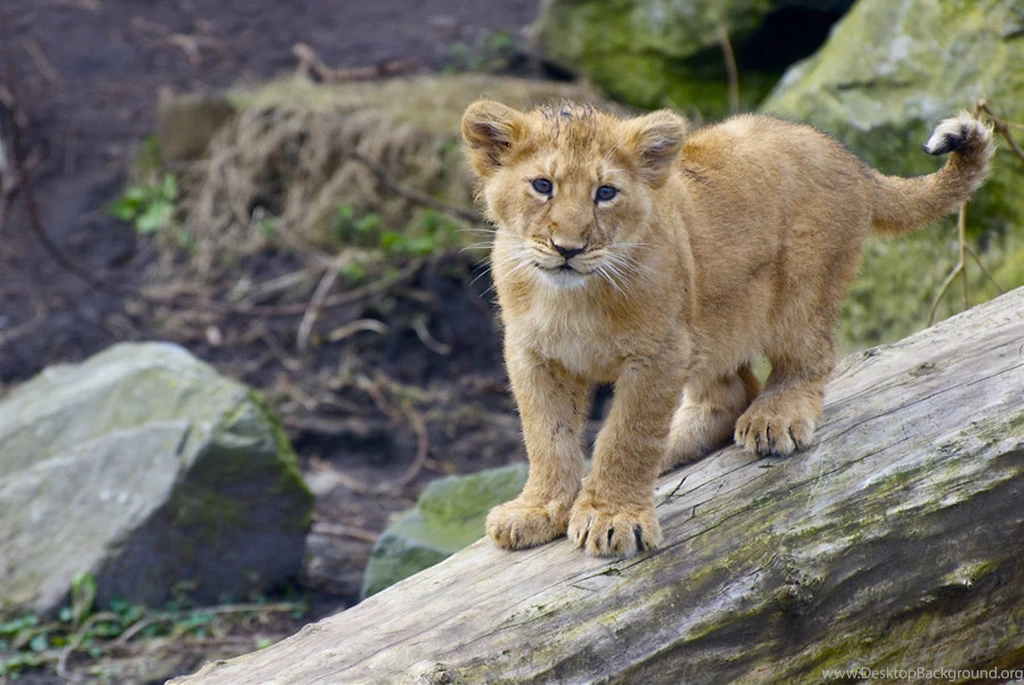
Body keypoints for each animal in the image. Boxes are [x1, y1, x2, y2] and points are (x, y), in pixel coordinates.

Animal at [461, 100, 994, 556]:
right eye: (542, 186)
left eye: (605, 193)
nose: (568, 248)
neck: (572, 297)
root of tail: (849, 158)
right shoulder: (533, 354)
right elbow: (546, 436)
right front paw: (538, 510)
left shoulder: (659, 353)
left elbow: (628, 435)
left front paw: (612, 517)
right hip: (714, 323)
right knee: (732, 390)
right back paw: (676, 443)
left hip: (799, 295)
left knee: (808, 359)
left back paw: (775, 417)